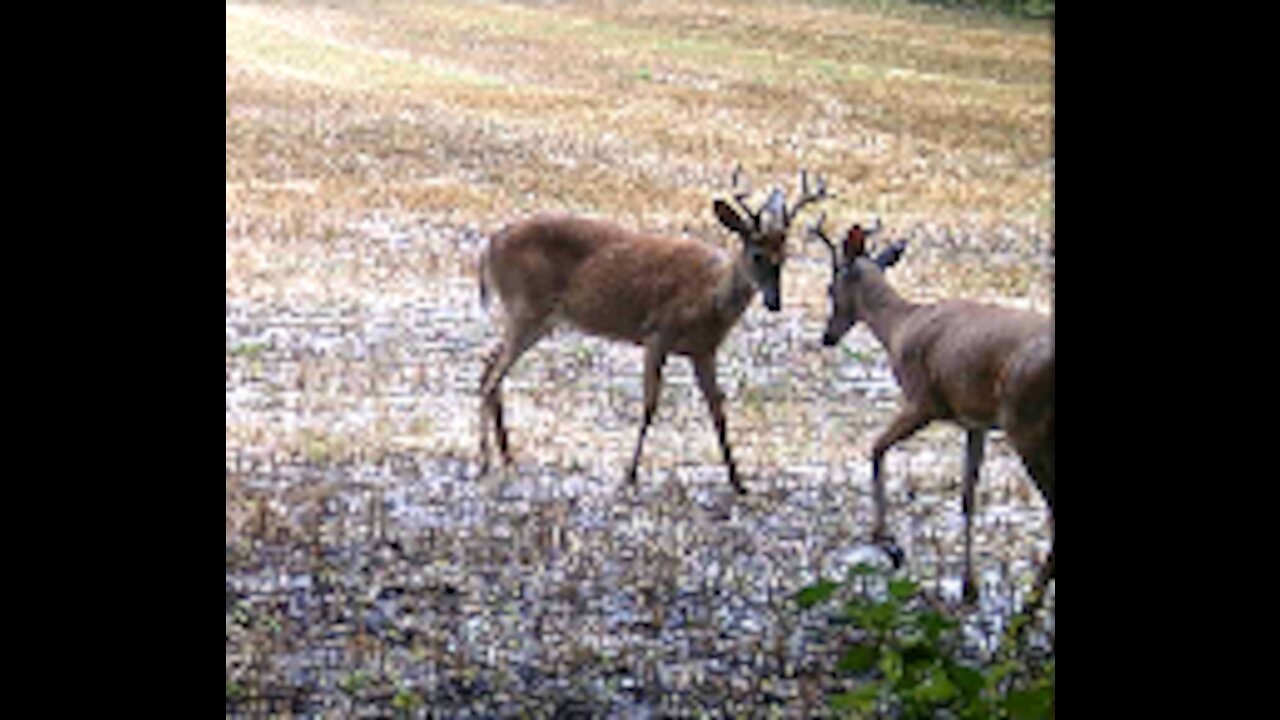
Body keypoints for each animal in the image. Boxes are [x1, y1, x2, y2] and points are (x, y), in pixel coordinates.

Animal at [478, 167, 829, 491]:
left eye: (784, 256)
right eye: (756, 255)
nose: (775, 302)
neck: (709, 298)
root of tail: (491, 245)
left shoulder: (704, 350)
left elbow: (718, 409)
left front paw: (738, 480)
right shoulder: (657, 334)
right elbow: (650, 405)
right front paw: (630, 474)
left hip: (532, 318)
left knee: (488, 365)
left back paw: (506, 456)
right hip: (526, 309)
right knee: (492, 375)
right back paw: (485, 460)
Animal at [808, 213, 1049, 604]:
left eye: (830, 288)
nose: (827, 336)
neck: (901, 326)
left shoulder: (923, 401)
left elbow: (876, 448)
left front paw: (890, 546)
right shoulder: (975, 421)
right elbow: (968, 496)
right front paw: (969, 586)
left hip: (1026, 426)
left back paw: (1031, 603)